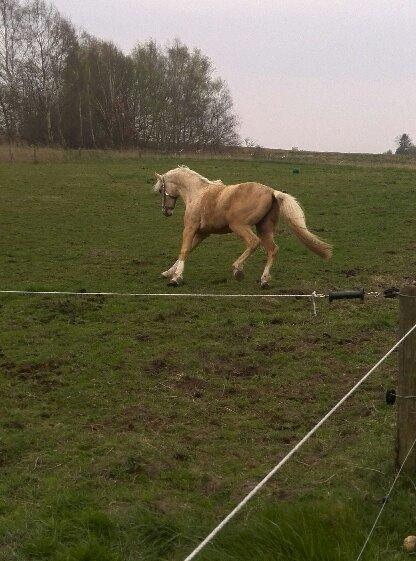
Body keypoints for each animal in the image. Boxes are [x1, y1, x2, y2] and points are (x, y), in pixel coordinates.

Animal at [153, 164, 332, 286]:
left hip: (239, 226)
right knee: (272, 249)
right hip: (264, 229)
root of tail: (271, 192)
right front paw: (168, 272)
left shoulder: (190, 229)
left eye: (161, 190)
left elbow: (184, 250)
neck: (197, 194)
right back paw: (264, 280)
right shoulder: (203, 233)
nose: (166, 211)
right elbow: (189, 249)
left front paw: (176, 278)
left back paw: (238, 269)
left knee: (253, 243)